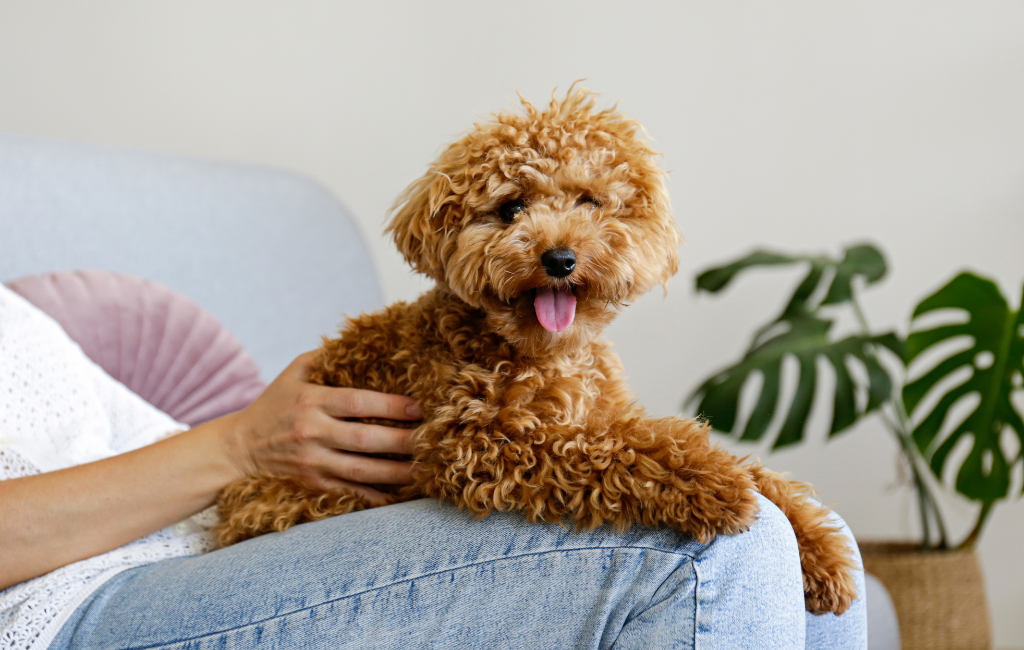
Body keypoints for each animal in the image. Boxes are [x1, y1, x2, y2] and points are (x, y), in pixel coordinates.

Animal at [214, 86, 856, 614]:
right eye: (510, 208)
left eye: (590, 201)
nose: (560, 259)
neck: (545, 352)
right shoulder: (478, 441)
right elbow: (612, 449)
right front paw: (710, 483)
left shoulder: (598, 410)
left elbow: (743, 467)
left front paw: (817, 547)